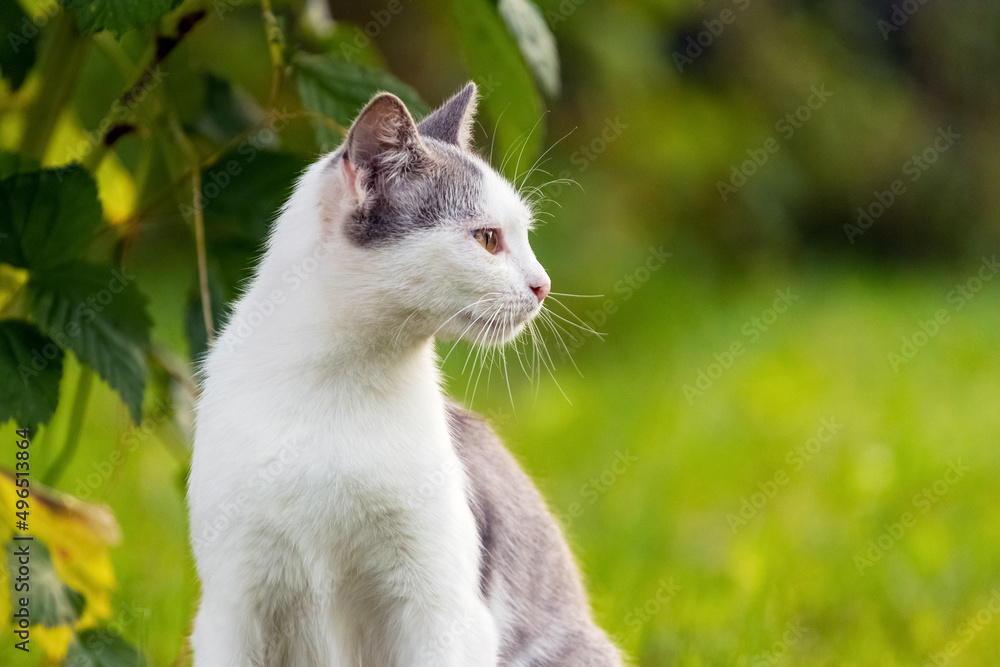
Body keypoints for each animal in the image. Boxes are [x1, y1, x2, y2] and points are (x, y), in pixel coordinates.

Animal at [187, 85, 620, 667]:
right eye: (488, 238)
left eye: (525, 236)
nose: (542, 285)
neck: (340, 386)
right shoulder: (232, 607)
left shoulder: (444, 610)